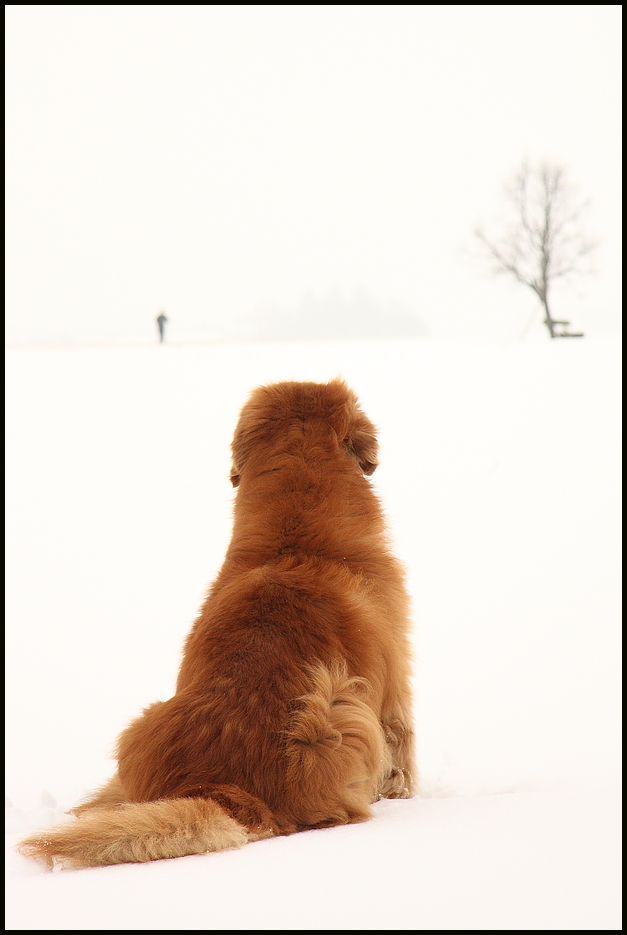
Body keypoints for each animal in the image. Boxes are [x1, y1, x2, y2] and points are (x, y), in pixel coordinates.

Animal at [18, 378, 418, 872]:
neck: (296, 545)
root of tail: (226, 791)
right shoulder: (398, 684)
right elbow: (403, 754)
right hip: (339, 714)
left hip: (140, 724)